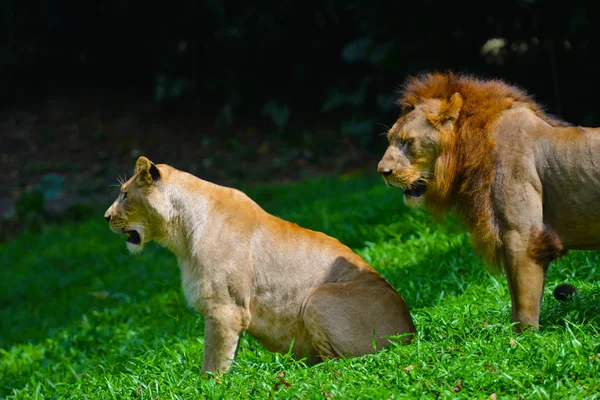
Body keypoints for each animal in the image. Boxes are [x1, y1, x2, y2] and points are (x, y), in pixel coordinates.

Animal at [104, 157, 412, 376]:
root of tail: (410, 332)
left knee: (341, 363)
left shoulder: (225, 309)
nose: (106, 217)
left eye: (124, 195)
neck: (180, 235)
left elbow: (213, 361)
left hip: (319, 296)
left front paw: (205, 387)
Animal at [376, 72, 596, 332]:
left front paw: (522, 336)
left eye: (408, 142)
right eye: (390, 139)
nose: (382, 172)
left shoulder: (522, 236)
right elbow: (517, 293)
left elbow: (524, 298)